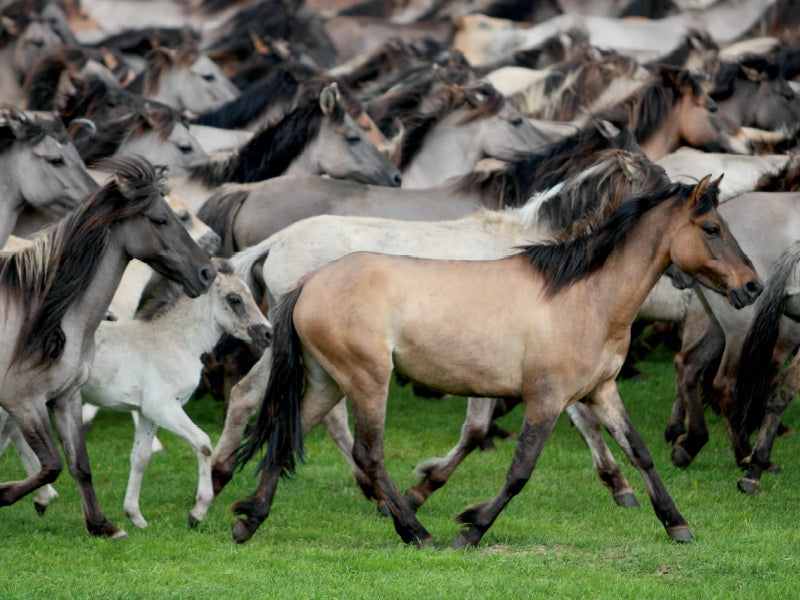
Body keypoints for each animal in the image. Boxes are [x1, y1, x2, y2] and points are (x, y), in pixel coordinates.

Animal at [0, 155, 216, 540]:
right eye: (161, 219)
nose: (206, 273)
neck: (41, 316)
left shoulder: (66, 397)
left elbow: (79, 464)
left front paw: (102, 525)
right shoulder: (24, 402)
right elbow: (52, 464)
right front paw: (6, 494)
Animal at [230, 175, 764, 548]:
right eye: (712, 229)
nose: (752, 286)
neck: (584, 295)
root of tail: (309, 282)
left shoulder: (601, 392)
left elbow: (641, 453)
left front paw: (677, 524)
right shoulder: (546, 398)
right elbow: (520, 470)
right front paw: (470, 528)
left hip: (327, 381)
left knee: (287, 435)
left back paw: (249, 520)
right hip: (367, 380)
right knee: (369, 453)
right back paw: (415, 530)